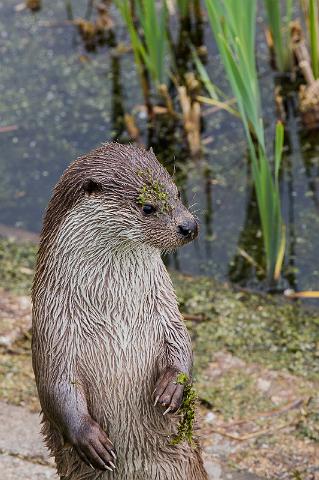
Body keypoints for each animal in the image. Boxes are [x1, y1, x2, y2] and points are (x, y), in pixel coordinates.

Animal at [31, 143, 209, 480]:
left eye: (177, 192)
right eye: (147, 207)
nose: (188, 226)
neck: (116, 311)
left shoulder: (166, 309)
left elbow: (182, 343)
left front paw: (172, 388)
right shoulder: (52, 323)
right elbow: (55, 383)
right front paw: (90, 439)